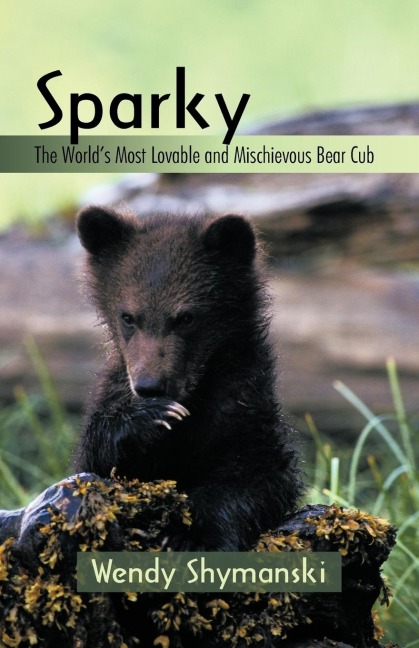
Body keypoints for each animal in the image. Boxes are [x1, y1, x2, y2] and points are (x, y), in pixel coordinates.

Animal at [74, 206, 302, 551]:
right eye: (128, 316)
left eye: (185, 317)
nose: (150, 386)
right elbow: (92, 464)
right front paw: (152, 417)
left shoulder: (242, 408)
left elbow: (260, 473)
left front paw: (193, 535)